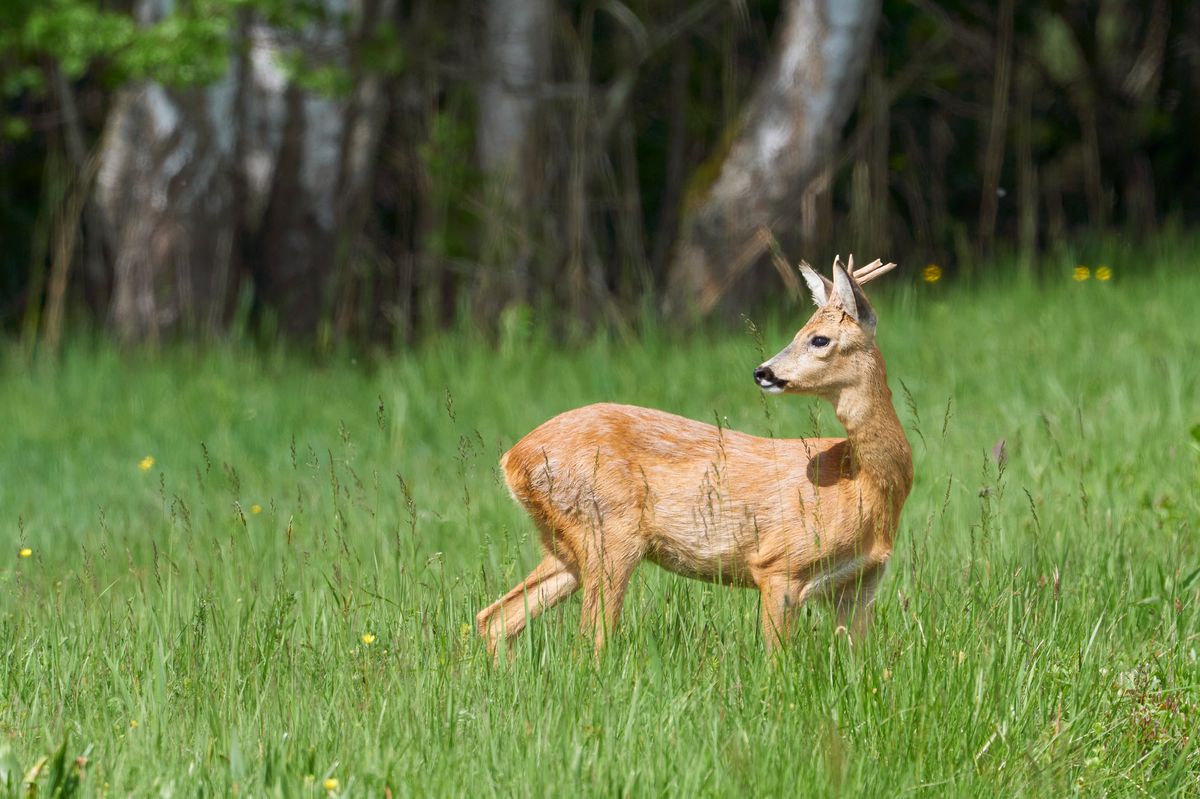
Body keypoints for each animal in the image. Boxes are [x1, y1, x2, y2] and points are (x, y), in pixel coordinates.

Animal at [475, 255, 907, 652]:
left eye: (819, 339)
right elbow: (777, 661)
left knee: (495, 618)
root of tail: (512, 459)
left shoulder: (861, 582)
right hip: (607, 531)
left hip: (566, 544)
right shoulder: (779, 563)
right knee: (591, 638)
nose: (762, 372)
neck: (864, 483)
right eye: (801, 331)